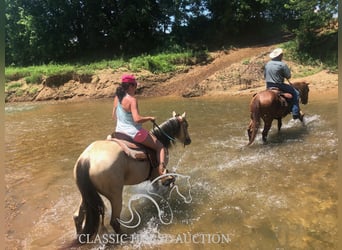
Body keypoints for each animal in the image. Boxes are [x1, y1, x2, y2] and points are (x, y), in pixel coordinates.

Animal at [72, 112, 191, 240]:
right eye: (186, 125)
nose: (189, 140)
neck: (160, 138)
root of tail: (86, 159)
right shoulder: (155, 176)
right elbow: (158, 190)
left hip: (87, 194)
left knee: (77, 216)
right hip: (115, 196)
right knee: (114, 221)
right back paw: (126, 237)